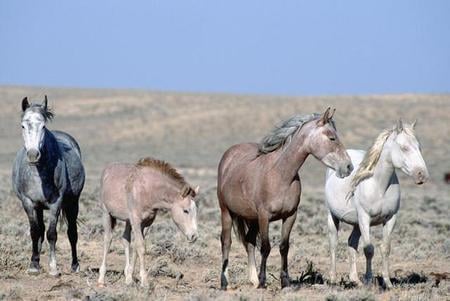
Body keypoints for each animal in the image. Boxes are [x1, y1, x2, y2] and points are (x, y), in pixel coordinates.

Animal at [12, 96, 85, 274]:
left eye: (43, 126)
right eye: (23, 125)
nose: (33, 155)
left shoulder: (55, 203)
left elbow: (52, 234)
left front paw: (53, 267)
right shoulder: (28, 203)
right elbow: (35, 232)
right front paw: (33, 264)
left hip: (73, 203)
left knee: (72, 232)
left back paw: (75, 265)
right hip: (39, 207)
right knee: (40, 230)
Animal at [98, 157, 199, 286]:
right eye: (186, 210)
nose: (194, 236)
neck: (148, 191)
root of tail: (107, 169)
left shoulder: (145, 224)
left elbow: (137, 247)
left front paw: (130, 278)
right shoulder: (136, 222)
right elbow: (141, 247)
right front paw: (144, 281)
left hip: (127, 221)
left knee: (125, 239)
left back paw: (126, 275)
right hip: (106, 214)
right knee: (108, 240)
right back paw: (101, 279)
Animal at [216, 108, 354, 288]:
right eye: (332, 137)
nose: (349, 166)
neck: (280, 174)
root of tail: (229, 155)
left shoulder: (290, 216)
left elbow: (284, 247)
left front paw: (285, 281)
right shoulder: (264, 217)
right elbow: (266, 247)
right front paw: (263, 281)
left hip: (251, 218)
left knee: (250, 241)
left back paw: (252, 279)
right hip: (226, 212)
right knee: (226, 242)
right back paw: (225, 282)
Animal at [324, 120, 428, 288]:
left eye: (419, 147)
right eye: (404, 147)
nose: (422, 175)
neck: (379, 185)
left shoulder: (391, 218)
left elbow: (385, 249)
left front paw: (387, 282)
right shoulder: (365, 218)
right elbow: (369, 249)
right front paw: (368, 280)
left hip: (356, 224)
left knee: (351, 243)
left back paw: (355, 279)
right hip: (333, 216)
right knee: (333, 243)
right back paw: (333, 279)